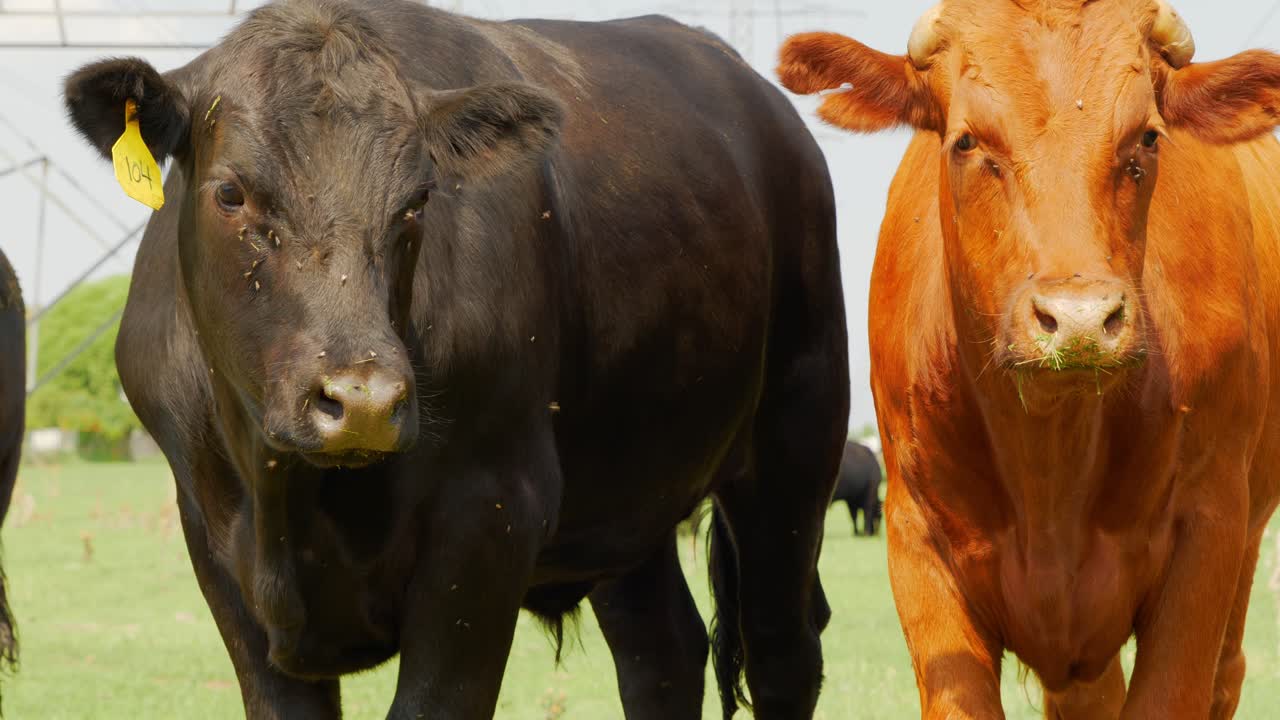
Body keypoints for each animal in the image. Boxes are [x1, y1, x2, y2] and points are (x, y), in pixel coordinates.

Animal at [63, 1, 849, 718]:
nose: (364, 403)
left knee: (782, 650)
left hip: (796, 443)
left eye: (417, 200)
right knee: (661, 653)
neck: (289, 494)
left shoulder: (489, 522)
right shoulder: (218, 548)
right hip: (630, 491)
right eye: (230, 192)